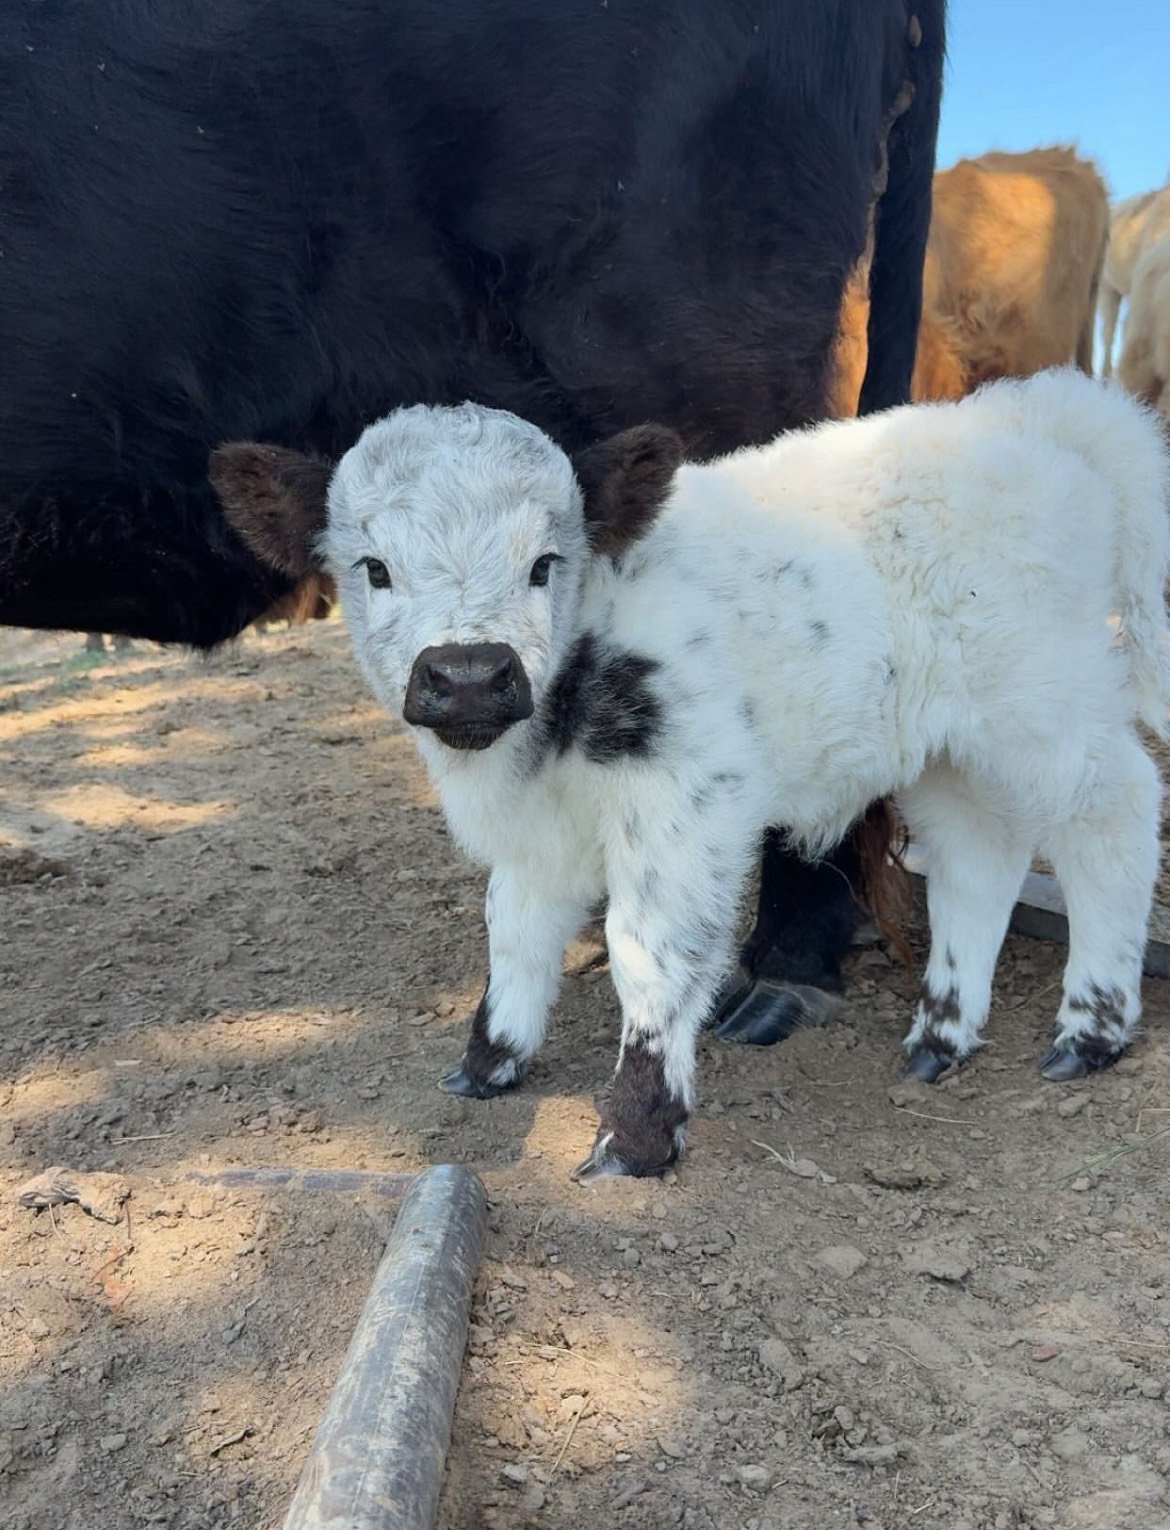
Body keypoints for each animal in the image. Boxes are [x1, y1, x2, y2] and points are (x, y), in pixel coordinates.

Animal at [212, 371, 1169, 1179]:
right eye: (374, 568)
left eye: (544, 563)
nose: (471, 674)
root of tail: (1036, 409)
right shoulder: (537, 831)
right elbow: (514, 931)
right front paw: (488, 1064)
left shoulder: (686, 805)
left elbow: (649, 953)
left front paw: (636, 1134)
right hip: (949, 746)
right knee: (980, 853)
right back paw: (942, 1033)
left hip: (1047, 706)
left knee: (1116, 815)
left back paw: (1090, 1030)